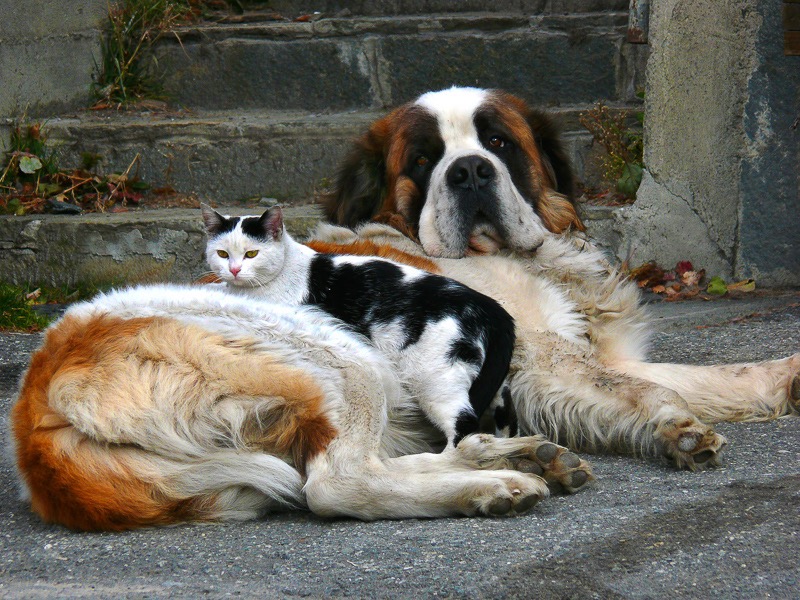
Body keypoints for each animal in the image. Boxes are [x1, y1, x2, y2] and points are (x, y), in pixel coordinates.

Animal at [202, 205, 520, 446]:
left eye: (252, 254)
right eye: (222, 254)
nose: (234, 270)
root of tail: (491, 307)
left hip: (437, 380)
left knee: (464, 424)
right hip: (488, 378)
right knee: (506, 410)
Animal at [310, 84, 800, 468]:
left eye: (498, 141)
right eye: (422, 159)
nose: (469, 171)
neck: (523, 258)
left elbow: (709, 375)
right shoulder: (538, 358)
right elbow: (647, 388)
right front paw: (677, 428)